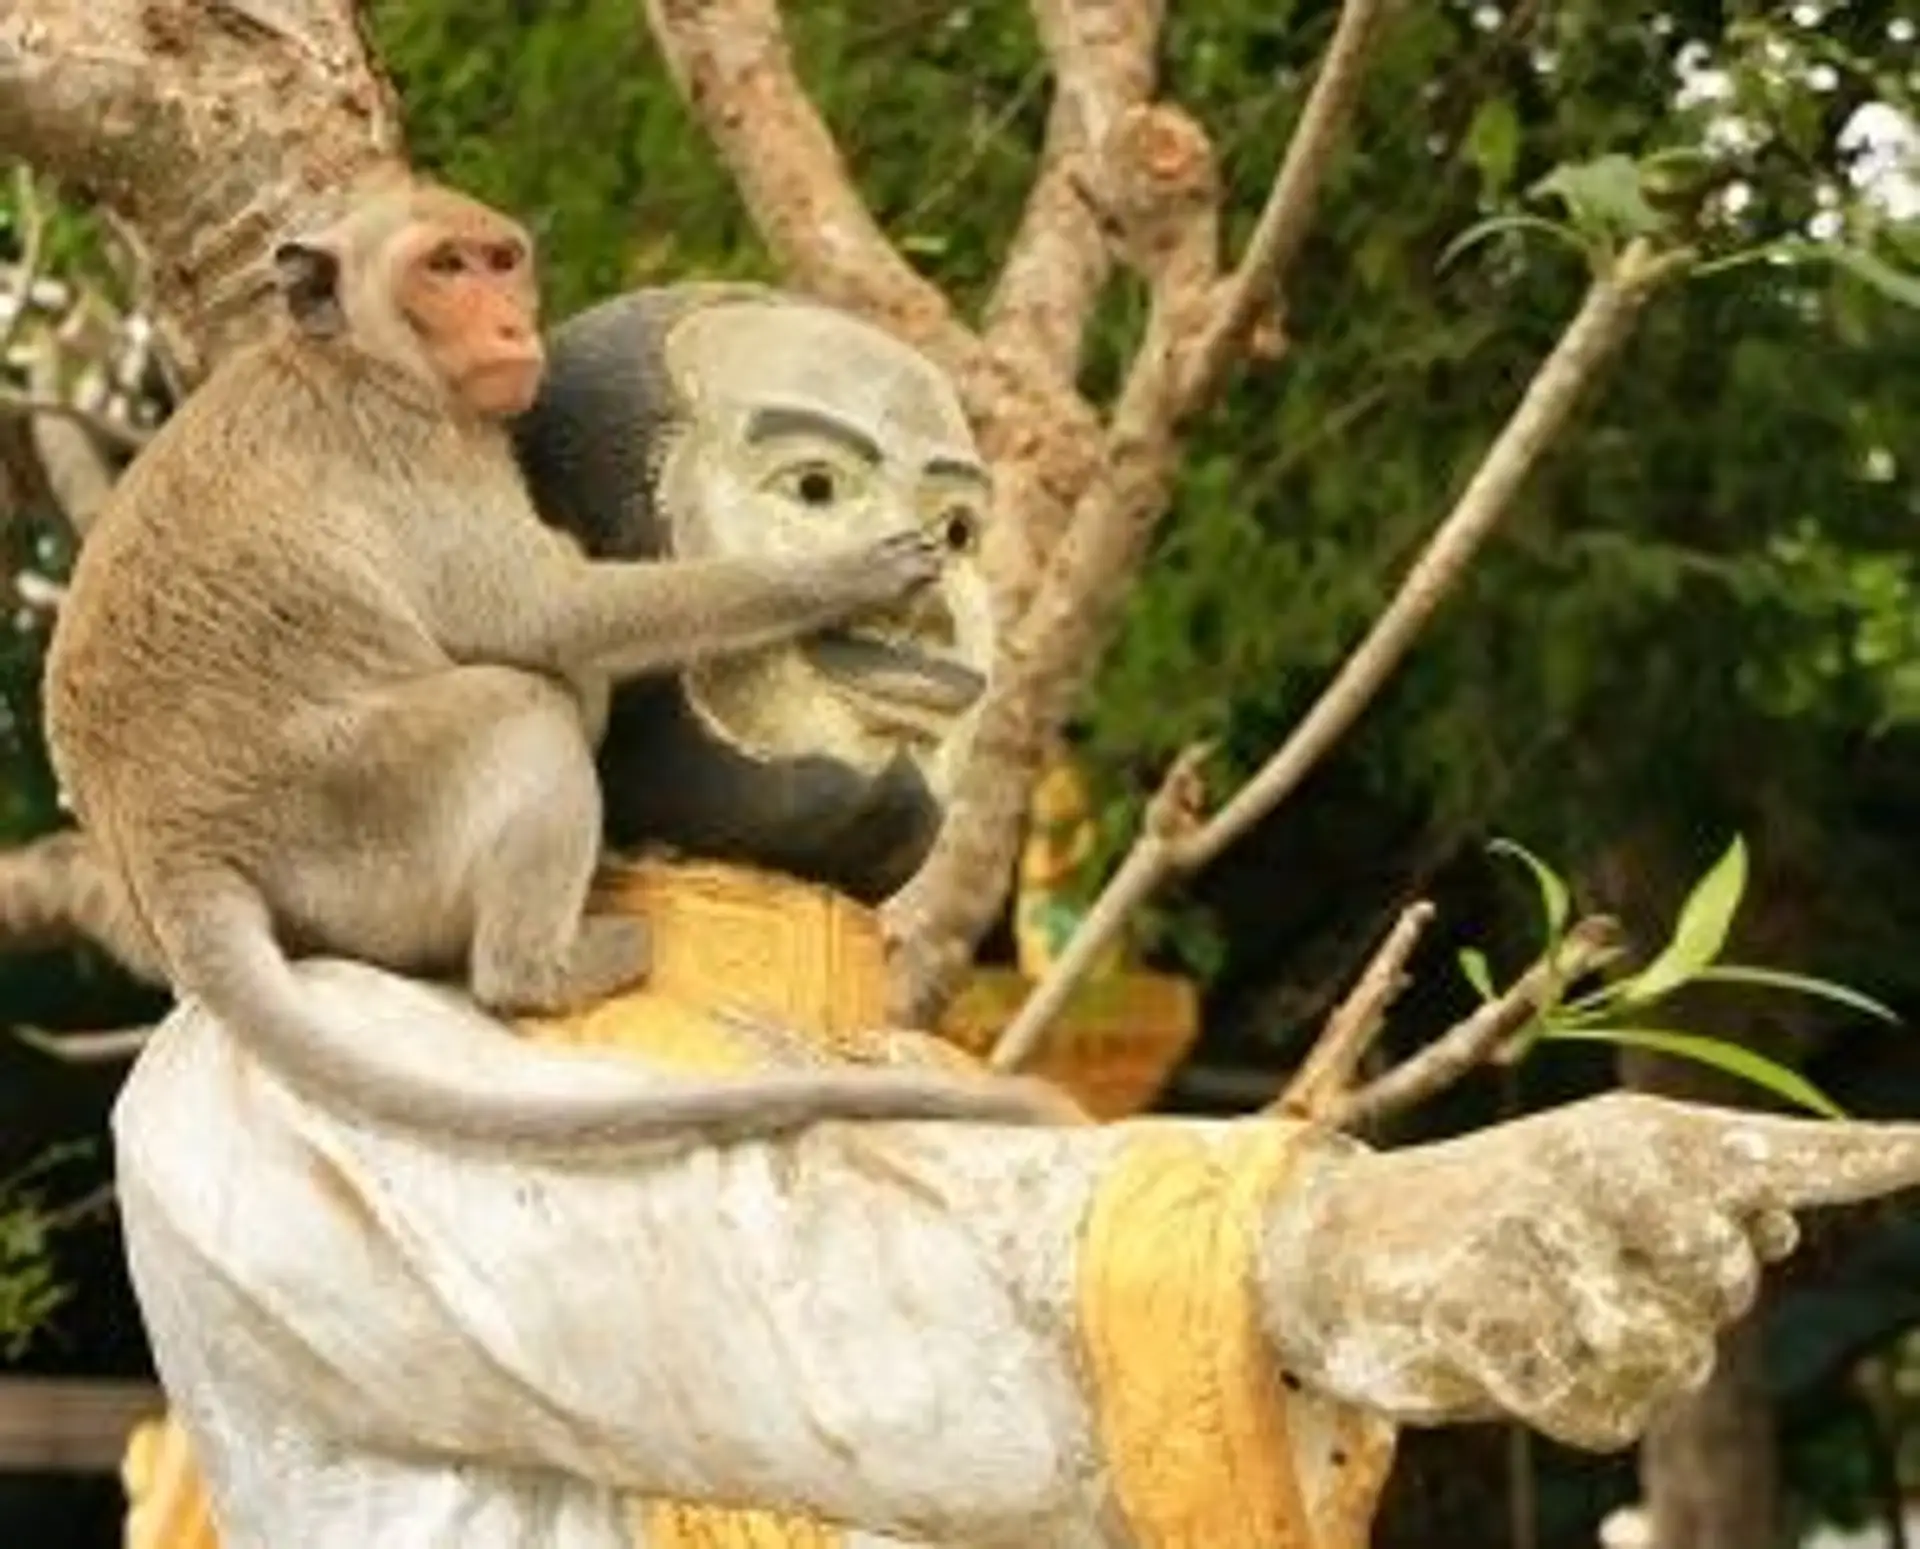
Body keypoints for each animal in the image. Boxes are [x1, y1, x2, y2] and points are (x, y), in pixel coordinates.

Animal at [42, 176, 1071, 1151]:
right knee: (520, 710)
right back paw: (541, 972)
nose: (507, 323)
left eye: (500, 261)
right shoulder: (419, 447)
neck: (363, 355)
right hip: (351, 815)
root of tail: (176, 855)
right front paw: (834, 576)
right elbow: (545, 613)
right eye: (443, 267)